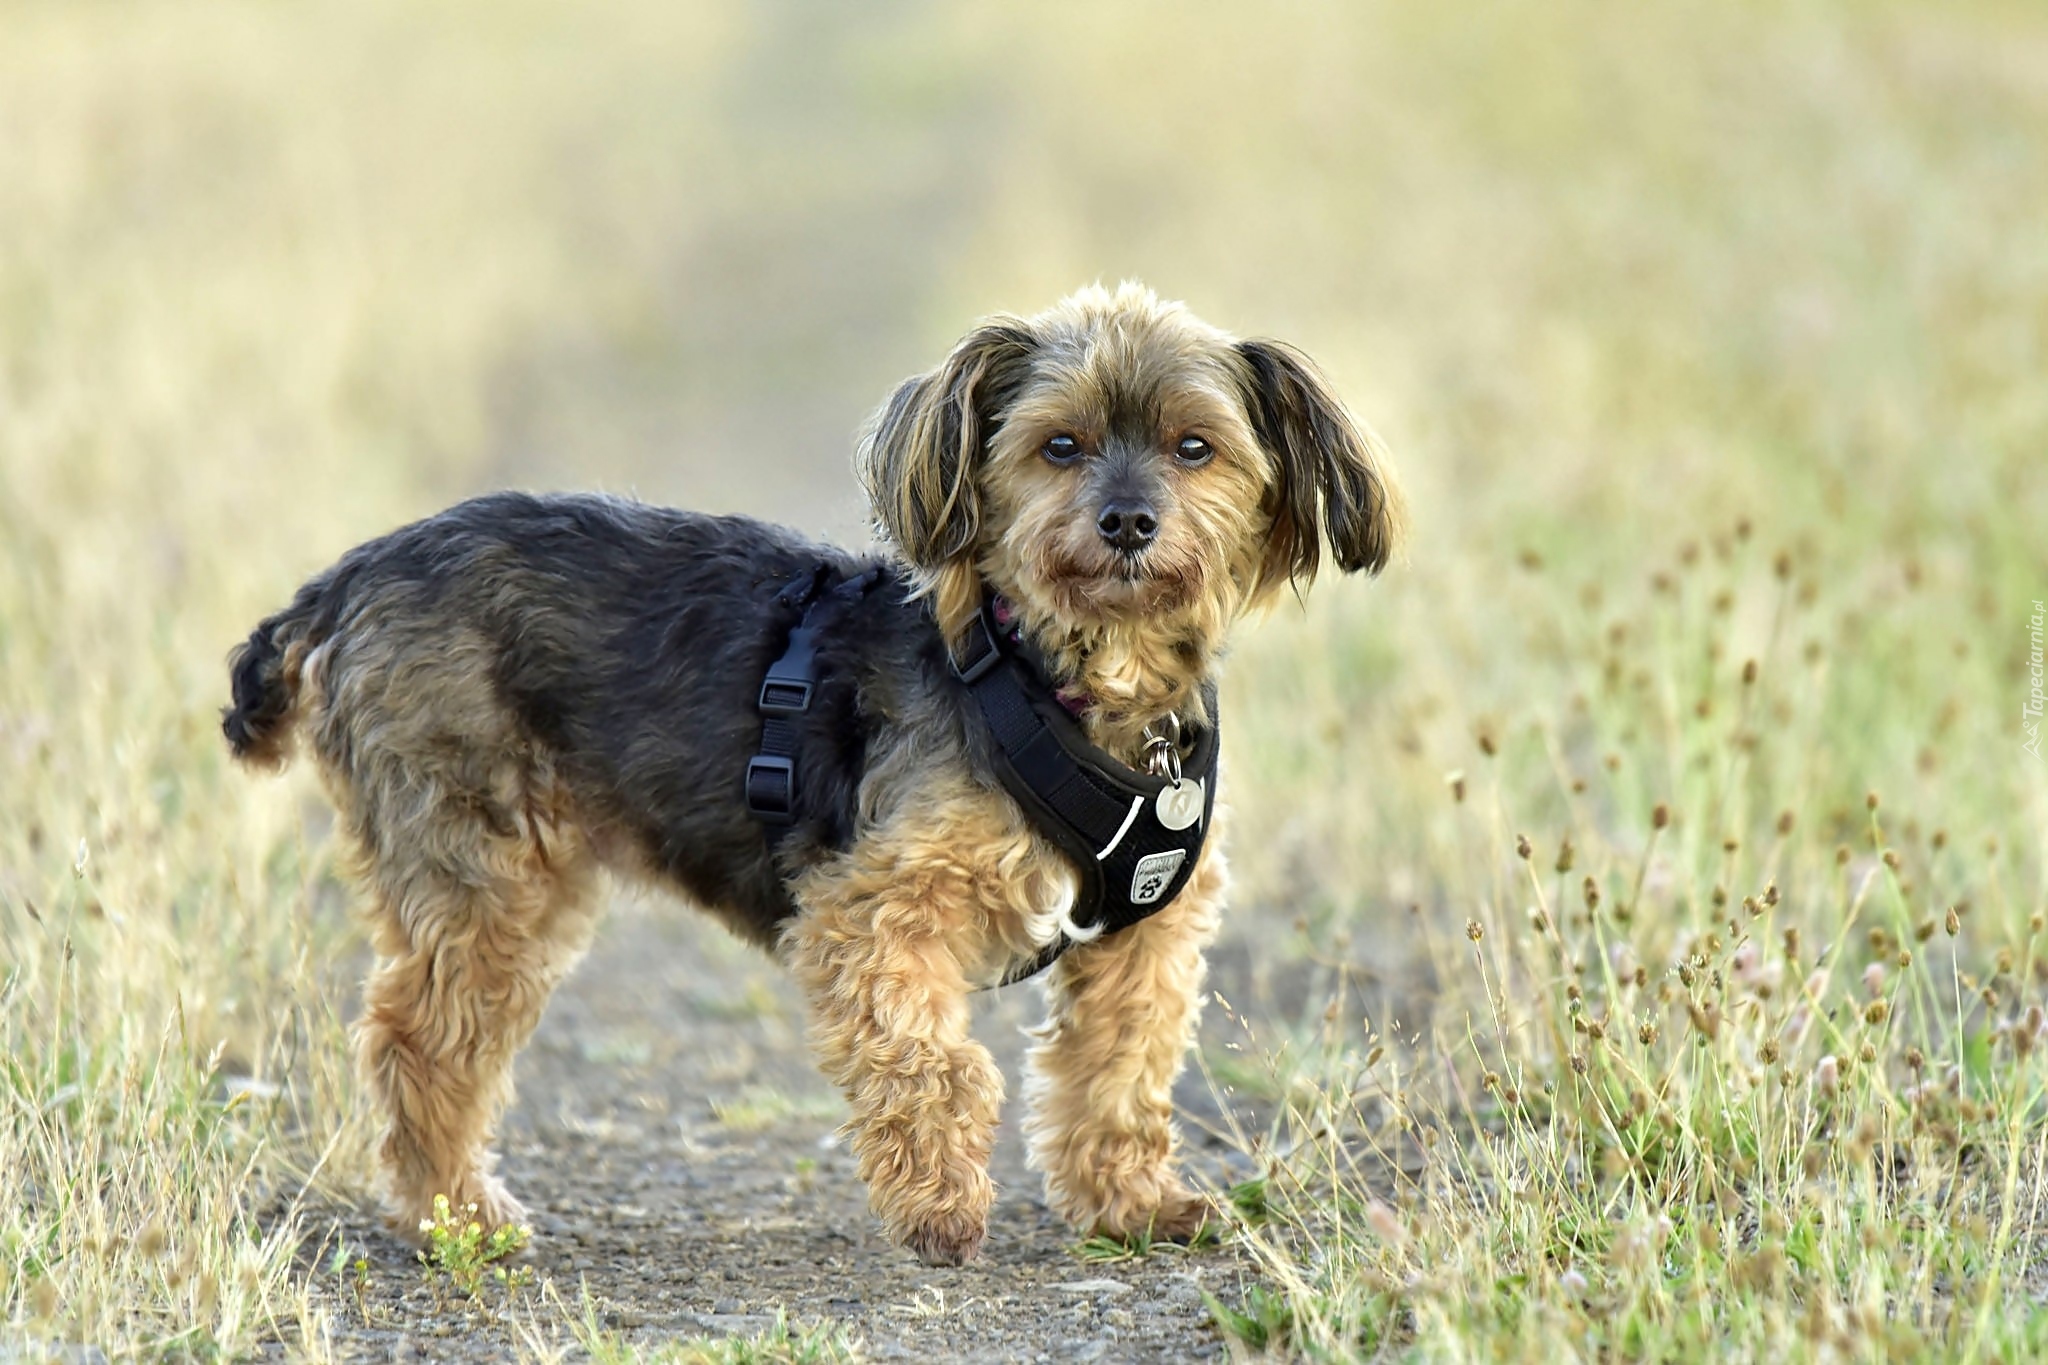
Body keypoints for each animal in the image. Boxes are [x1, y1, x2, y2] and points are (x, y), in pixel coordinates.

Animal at [223, 283, 1401, 1266]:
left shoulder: (1142, 940)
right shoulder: (873, 907)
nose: (1126, 522)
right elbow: (935, 1060)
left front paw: (1134, 1206)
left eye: (1195, 447)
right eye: (1058, 446)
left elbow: (1119, 1076)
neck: (1065, 685)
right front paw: (940, 1208)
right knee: (417, 1042)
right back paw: (454, 1217)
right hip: (485, 865)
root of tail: (347, 580)